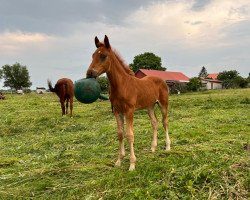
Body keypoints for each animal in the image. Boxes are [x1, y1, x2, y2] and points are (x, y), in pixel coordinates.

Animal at [86, 35, 170, 170]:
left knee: (164, 122)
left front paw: (132, 164)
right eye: (93, 55)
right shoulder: (117, 111)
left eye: (103, 56)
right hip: (150, 106)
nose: (89, 73)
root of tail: (161, 80)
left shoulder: (129, 111)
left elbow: (130, 135)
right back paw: (153, 147)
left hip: (163, 104)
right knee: (154, 122)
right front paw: (119, 160)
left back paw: (167, 147)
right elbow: (120, 134)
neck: (122, 85)